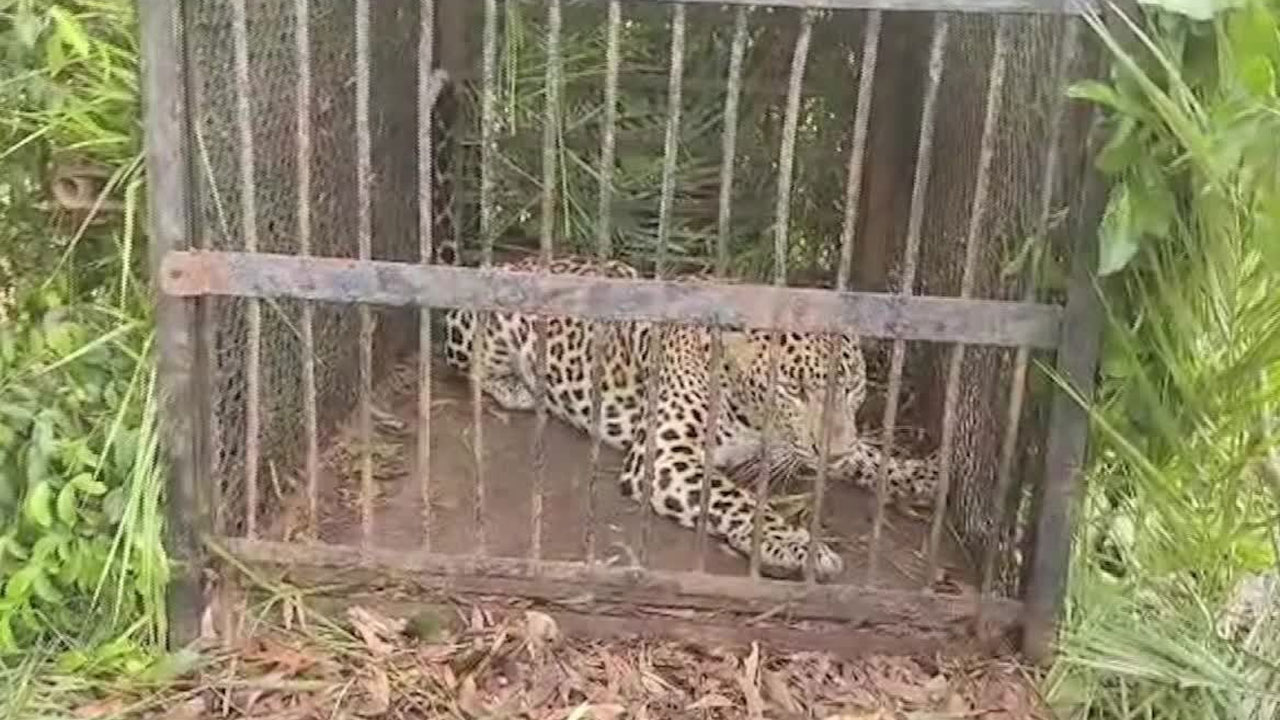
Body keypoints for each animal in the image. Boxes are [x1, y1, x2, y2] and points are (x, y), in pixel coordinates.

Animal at [441, 254, 940, 582]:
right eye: (794, 390)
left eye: (852, 386)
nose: (832, 452)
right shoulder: (666, 455)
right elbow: (738, 500)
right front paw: (797, 547)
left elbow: (869, 455)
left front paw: (923, 475)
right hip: (487, 332)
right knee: (472, 370)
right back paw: (521, 389)